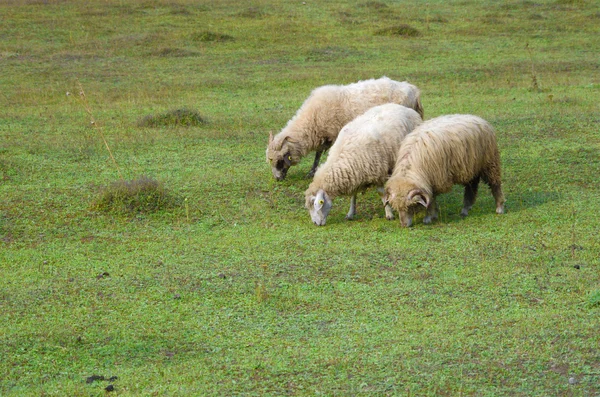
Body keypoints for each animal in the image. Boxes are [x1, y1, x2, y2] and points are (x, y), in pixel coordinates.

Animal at [264, 76, 424, 181]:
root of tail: (412, 89)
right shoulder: (323, 135)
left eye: (279, 160)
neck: (311, 119)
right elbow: (318, 153)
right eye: (270, 160)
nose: (277, 179)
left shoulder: (333, 133)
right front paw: (312, 171)